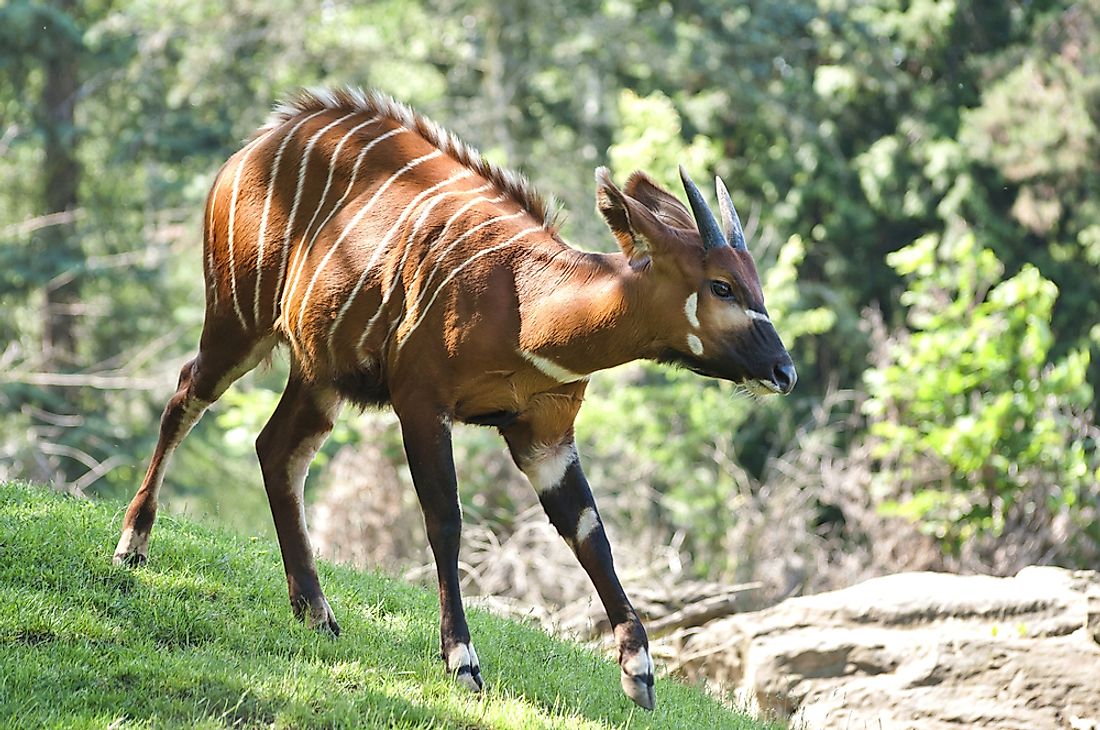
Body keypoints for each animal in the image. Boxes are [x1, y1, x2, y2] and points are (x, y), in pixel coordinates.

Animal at [113, 84, 800, 708]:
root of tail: (257, 142)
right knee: (186, 396)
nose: (784, 370)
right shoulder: (422, 403)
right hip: (238, 320)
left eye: (755, 283)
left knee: (277, 449)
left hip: (320, 372)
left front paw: (639, 675)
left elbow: (590, 532)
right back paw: (132, 548)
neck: (526, 303)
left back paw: (316, 612)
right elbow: (445, 519)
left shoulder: (546, 433)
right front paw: (462, 661)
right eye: (721, 285)